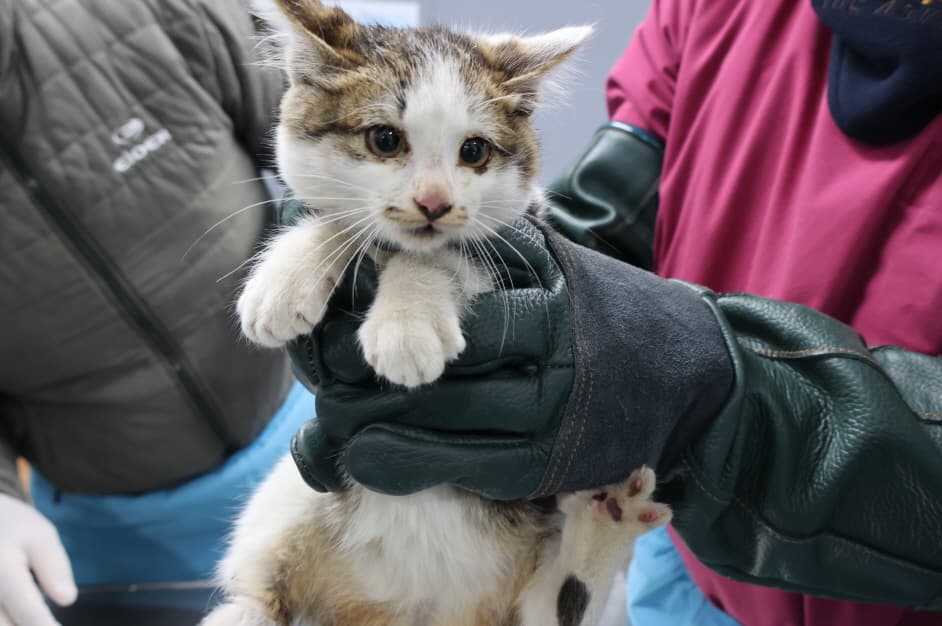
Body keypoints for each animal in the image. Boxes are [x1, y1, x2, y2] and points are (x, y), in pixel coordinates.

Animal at [204, 2, 672, 620]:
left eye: (473, 151)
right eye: (384, 139)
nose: (434, 203)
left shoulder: (524, 240)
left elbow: (446, 254)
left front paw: (408, 321)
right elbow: (340, 222)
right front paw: (286, 275)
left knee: (553, 609)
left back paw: (608, 520)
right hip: (292, 493)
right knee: (262, 588)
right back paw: (245, 611)